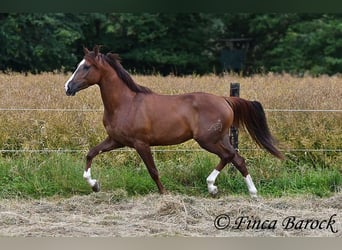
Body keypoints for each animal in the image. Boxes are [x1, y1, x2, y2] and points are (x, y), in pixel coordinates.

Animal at [65, 45, 284, 197]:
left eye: (86, 66)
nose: (68, 87)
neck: (125, 103)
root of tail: (224, 99)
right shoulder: (116, 140)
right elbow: (90, 153)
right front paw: (94, 185)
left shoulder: (140, 143)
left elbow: (153, 170)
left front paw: (164, 193)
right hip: (220, 138)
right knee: (237, 159)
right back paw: (251, 193)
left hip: (208, 140)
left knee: (230, 156)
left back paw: (212, 186)